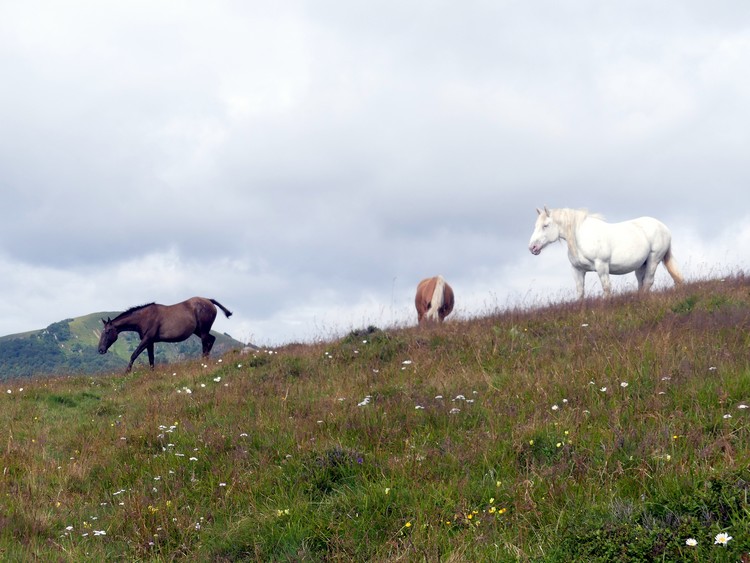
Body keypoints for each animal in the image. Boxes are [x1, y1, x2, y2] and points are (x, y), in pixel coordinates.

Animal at [98, 297, 233, 372]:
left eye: (107, 331)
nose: (100, 350)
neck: (144, 318)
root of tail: (209, 301)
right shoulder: (150, 342)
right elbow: (151, 359)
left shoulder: (147, 340)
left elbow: (134, 355)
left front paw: (127, 372)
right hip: (199, 331)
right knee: (211, 340)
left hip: (203, 331)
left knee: (206, 344)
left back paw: (203, 362)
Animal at [528, 207, 683, 299]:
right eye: (536, 225)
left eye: (545, 225)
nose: (532, 247)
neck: (581, 237)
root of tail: (663, 227)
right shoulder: (577, 270)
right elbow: (580, 291)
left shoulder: (602, 266)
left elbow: (606, 288)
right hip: (642, 264)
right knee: (642, 282)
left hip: (653, 259)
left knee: (648, 282)